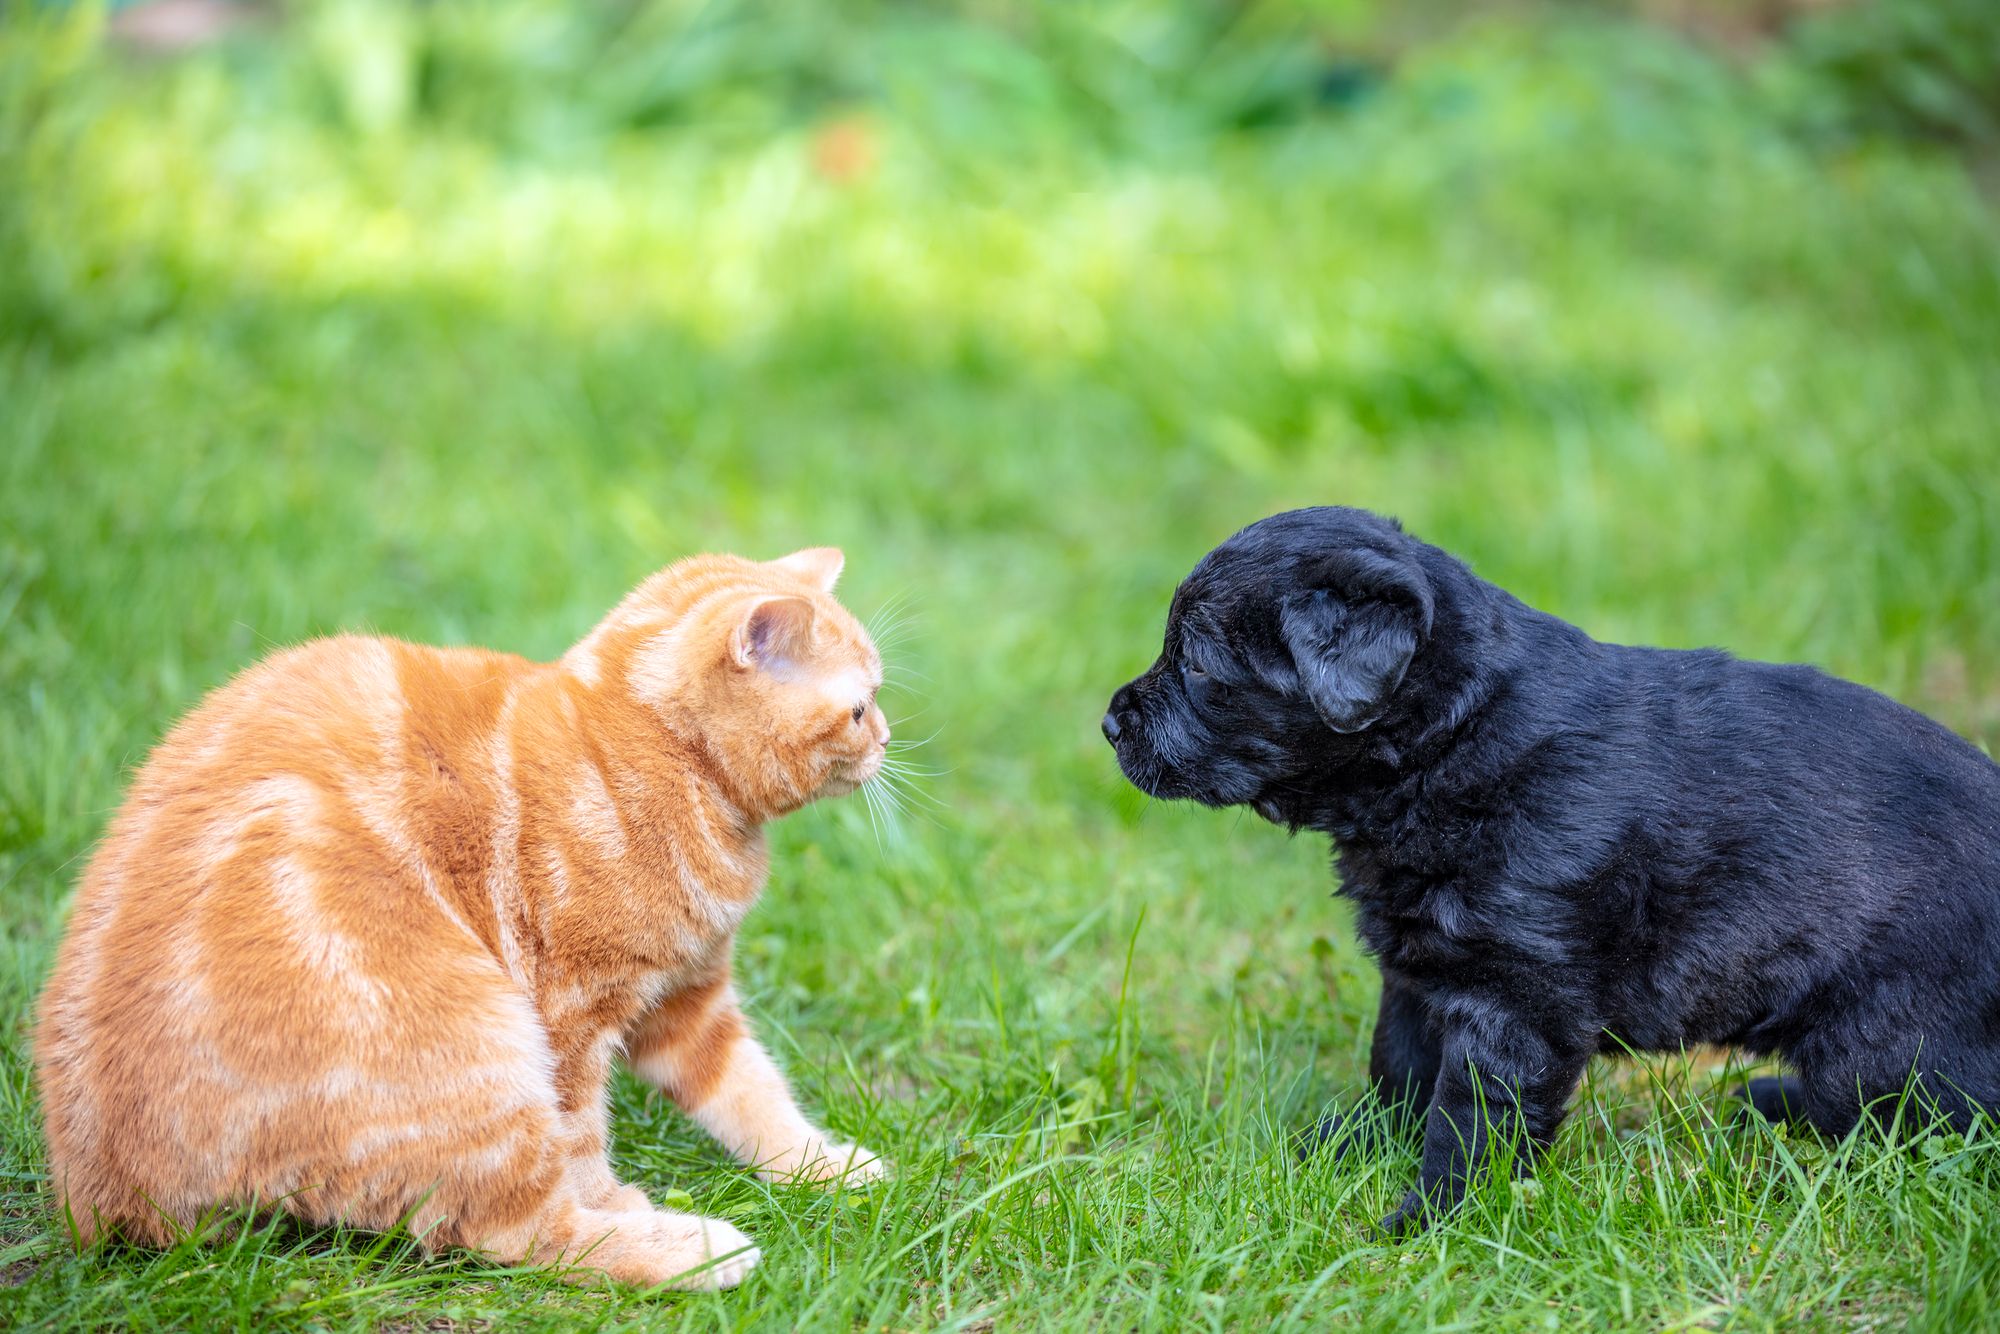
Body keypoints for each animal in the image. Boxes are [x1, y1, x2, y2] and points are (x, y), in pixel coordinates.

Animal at [29, 548, 892, 1288]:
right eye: (858, 710)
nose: (887, 739)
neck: (657, 753)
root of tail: (105, 1200)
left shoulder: (689, 999)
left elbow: (752, 1093)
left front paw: (823, 1164)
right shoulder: (571, 1015)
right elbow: (582, 1141)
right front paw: (616, 1200)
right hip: (483, 1049)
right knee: (523, 1232)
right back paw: (699, 1253)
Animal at [1104, 506, 2000, 1240]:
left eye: (1199, 667)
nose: (1109, 723)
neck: (1456, 740)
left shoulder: (1513, 1001)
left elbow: (1470, 1119)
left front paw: (1433, 1220)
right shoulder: (1420, 970)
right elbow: (1397, 1068)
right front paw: (1351, 1148)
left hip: (1894, 1042)